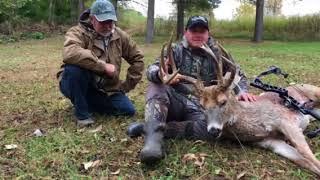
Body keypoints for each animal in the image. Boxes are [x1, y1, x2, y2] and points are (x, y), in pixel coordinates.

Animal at [159, 37, 320, 176]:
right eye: (202, 106)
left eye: (223, 102)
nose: (213, 130)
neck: (255, 124)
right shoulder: (269, 142)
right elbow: (304, 161)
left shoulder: (285, 120)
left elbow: (307, 154)